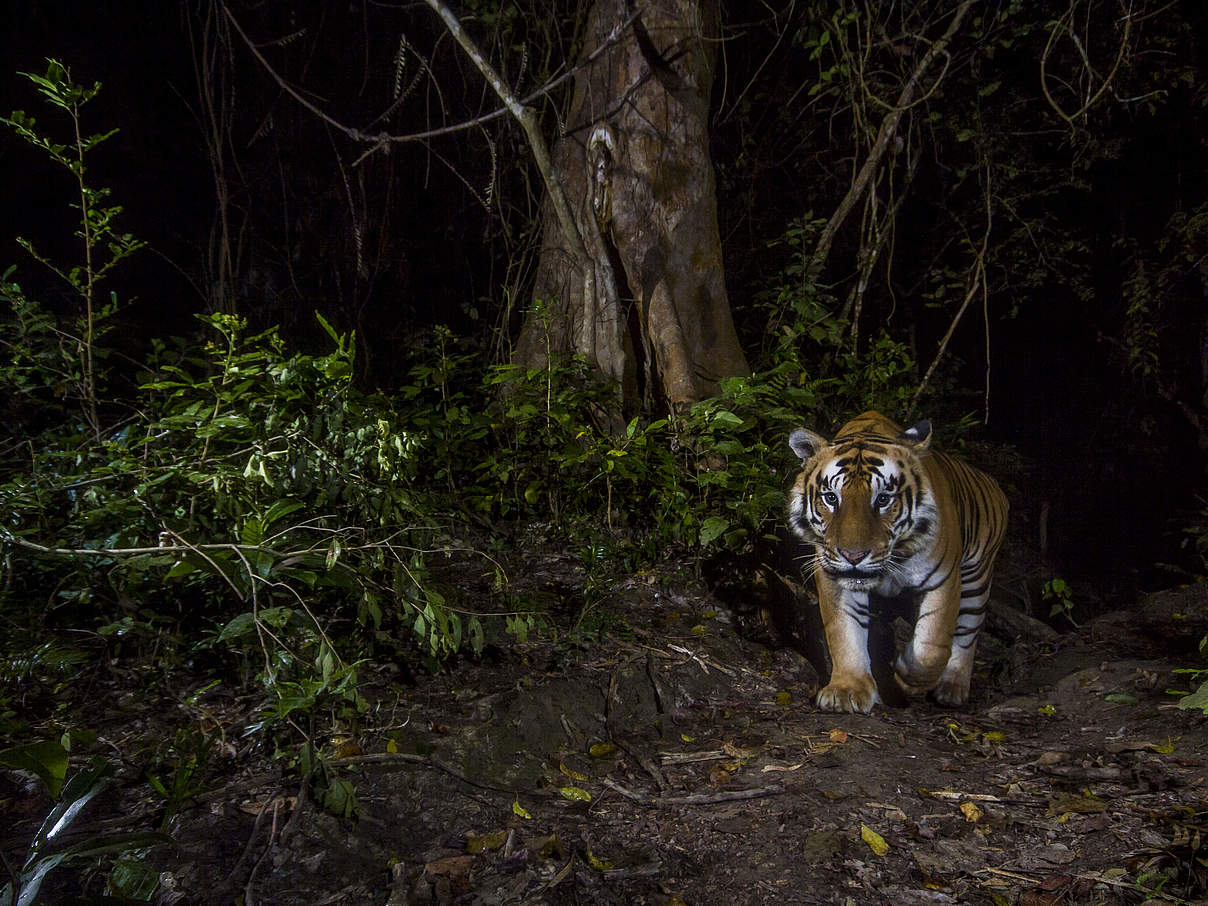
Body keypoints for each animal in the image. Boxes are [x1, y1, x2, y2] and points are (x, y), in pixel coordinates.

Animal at [782, 413, 1009, 715]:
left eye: (883, 499)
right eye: (831, 498)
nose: (853, 556)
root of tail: (994, 484)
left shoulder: (944, 579)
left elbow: (932, 646)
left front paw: (905, 675)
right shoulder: (835, 578)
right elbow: (844, 632)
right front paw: (847, 691)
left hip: (977, 579)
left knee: (967, 634)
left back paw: (952, 688)